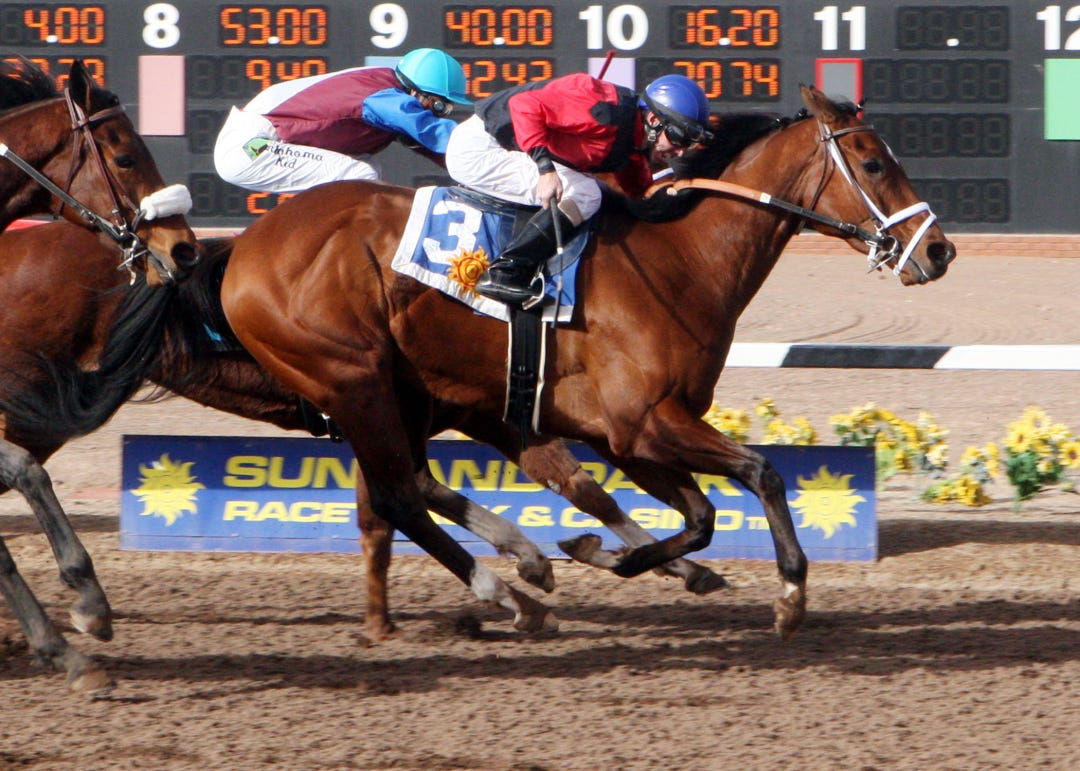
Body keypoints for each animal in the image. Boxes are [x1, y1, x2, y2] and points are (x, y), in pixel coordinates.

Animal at [219, 85, 956, 640]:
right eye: (873, 163)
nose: (940, 250)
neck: (682, 261)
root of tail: (245, 247)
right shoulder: (644, 422)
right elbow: (762, 474)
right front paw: (790, 594)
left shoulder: (629, 436)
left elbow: (697, 517)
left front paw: (606, 552)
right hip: (353, 379)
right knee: (398, 495)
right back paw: (510, 595)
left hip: (409, 393)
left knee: (410, 488)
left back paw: (524, 574)